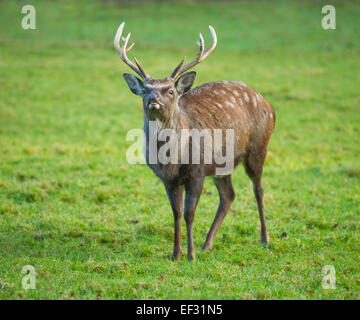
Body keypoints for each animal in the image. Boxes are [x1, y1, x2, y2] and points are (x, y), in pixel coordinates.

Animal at [115, 23, 276, 262]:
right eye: (144, 90)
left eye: (170, 90)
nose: (153, 99)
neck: (173, 159)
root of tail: (269, 106)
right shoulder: (168, 179)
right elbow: (176, 213)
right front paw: (176, 253)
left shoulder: (197, 172)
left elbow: (189, 214)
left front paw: (189, 255)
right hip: (222, 166)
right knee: (229, 195)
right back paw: (207, 244)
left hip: (258, 148)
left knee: (259, 189)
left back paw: (264, 238)